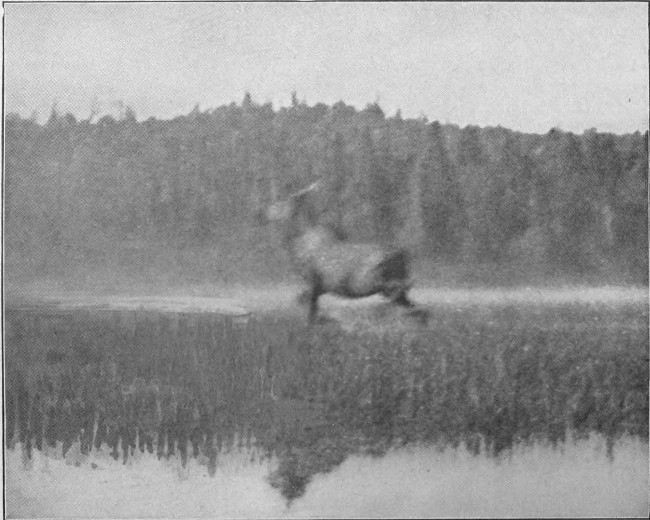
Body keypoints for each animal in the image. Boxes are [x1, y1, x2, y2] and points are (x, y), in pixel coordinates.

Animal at [255, 178, 415, 323]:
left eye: (279, 204)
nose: (260, 213)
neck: (294, 244)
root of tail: (403, 255)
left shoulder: (312, 280)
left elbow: (309, 311)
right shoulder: (320, 287)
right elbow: (307, 305)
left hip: (377, 278)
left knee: (401, 287)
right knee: (407, 299)